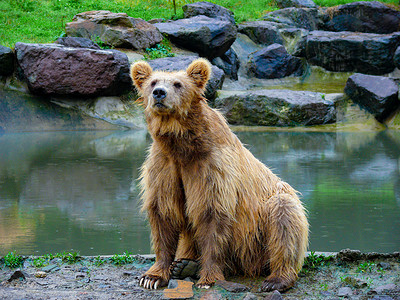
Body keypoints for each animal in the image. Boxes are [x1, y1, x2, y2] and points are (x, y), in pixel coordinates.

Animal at [130, 57, 308, 292]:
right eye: (152, 82)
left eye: (178, 84)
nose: (159, 93)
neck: (181, 143)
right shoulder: (165, 166)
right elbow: (163, 214)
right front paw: (152, 277)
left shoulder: (211, 168)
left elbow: (211, 216)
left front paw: (208, 279)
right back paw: (184, 265)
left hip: (261, 229)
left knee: (284, 220)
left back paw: (276, 279)